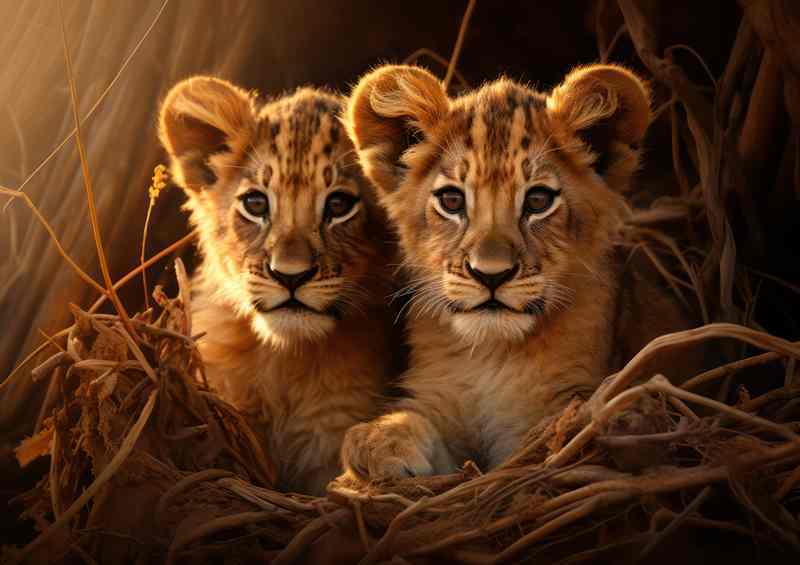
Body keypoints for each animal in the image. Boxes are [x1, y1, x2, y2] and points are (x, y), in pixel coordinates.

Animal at [339, 63, 699, 479]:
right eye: (452, 200)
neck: (490, 354)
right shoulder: (439, 397)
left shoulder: (561, 402)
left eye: (538, 200)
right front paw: (379, 441)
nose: (490, 275)